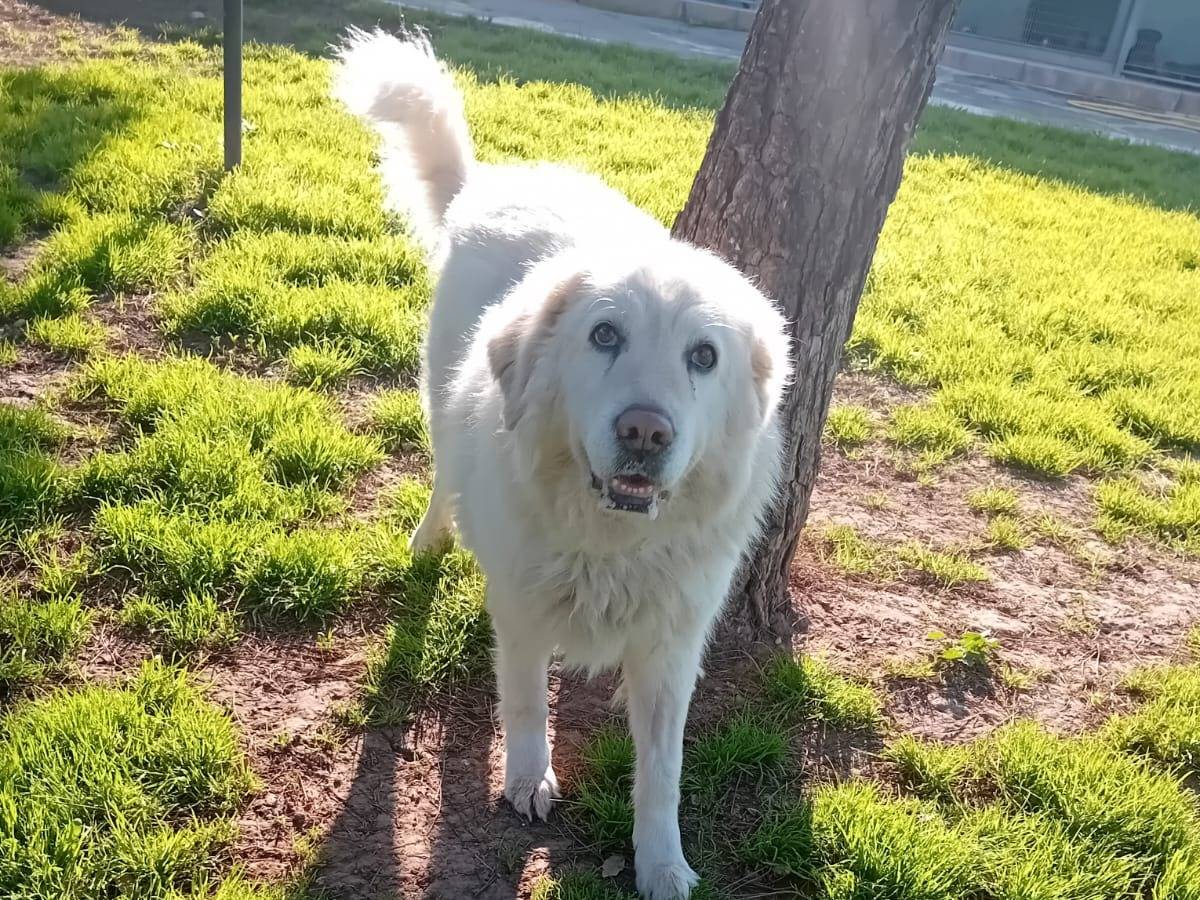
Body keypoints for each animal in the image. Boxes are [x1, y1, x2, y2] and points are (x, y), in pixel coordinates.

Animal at [336, 30, 787, 900]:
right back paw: (430, 539)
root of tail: (493, 185)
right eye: (605, 335)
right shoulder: (519, 611)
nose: (645, 430)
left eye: (704, 357)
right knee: (443, 477)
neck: (609, 543)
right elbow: (522, 702)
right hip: (440, 399)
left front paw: (662, 862)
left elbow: (662, 772)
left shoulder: (671, 648)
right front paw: (526, 780)